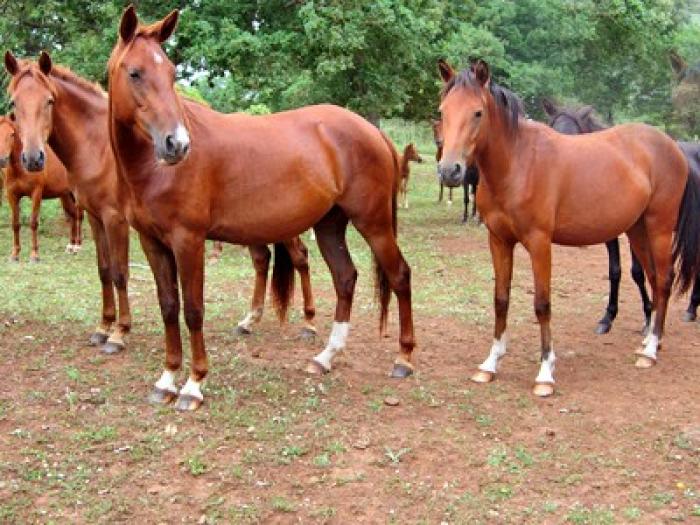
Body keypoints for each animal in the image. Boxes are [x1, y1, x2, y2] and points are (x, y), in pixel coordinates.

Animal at [0, 115, 82, 261]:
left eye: (12, 134)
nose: (2, 160)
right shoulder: (12, 195)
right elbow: (15, 224)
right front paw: (15, 254)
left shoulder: (36, 193)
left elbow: (33, 223)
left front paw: (34, 255)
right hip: (65, 195)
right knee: (72, 215)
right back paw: (71, 246)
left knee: (78, 215)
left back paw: (78, 246)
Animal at [106, 6, 415, 411]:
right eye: (135, 73)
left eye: (172, 74)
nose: (177, 144)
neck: (152, 169)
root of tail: (373, 131)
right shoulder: (152, 242)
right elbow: (169, 307)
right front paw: (167, 379)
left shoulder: (189, 241)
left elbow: (193, 310)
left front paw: (193, 385)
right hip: (330, 225)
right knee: (346, 278)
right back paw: (325, 358)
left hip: (374, 224)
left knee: (400, 276)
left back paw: (404, 358)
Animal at [543, 101, 700, 331]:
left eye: (576, 135)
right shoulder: (610, 233)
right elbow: (615, 271)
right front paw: (608, 317)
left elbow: (637, 271)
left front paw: (648, 313)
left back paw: (691, 308)